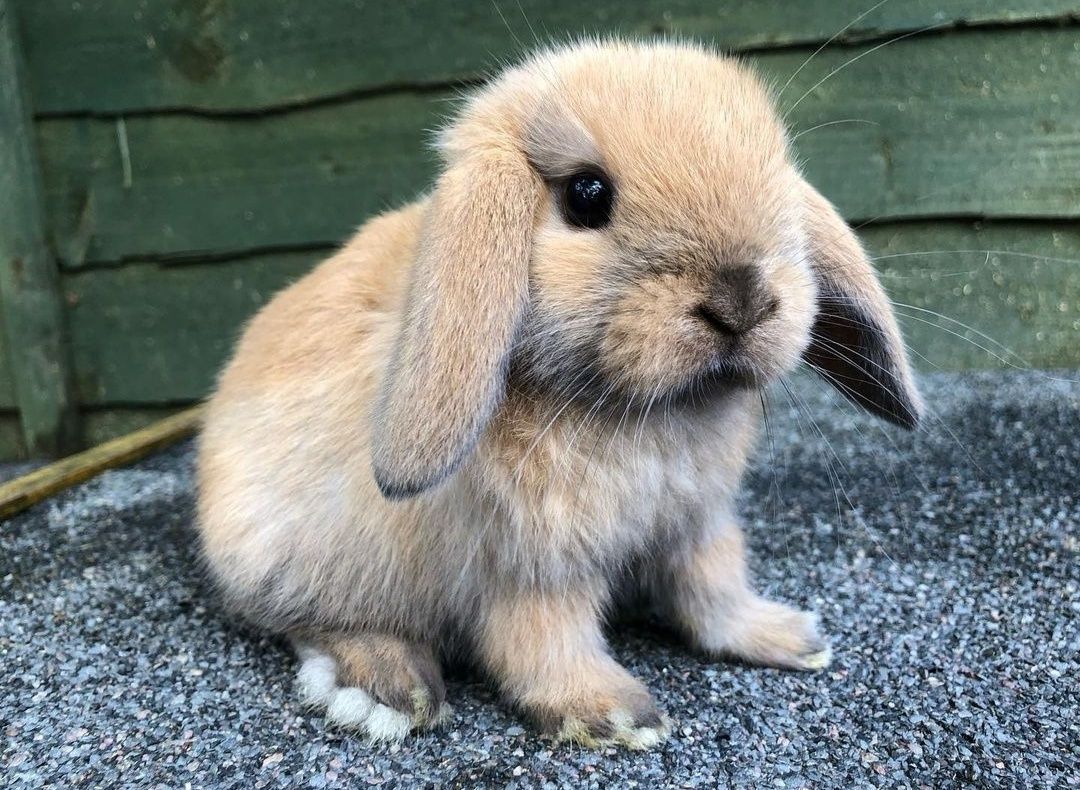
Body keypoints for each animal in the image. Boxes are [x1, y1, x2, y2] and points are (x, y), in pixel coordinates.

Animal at [194, 40, 920, 752]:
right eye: (587, 194)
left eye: (778, 174)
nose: (741, 302)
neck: (640, 411)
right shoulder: (535, 567)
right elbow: (545, 641)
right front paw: (615, 716)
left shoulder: (696, 525)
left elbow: (714, 592)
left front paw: (789, 638)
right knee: (315, 625)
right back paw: (385, 688)